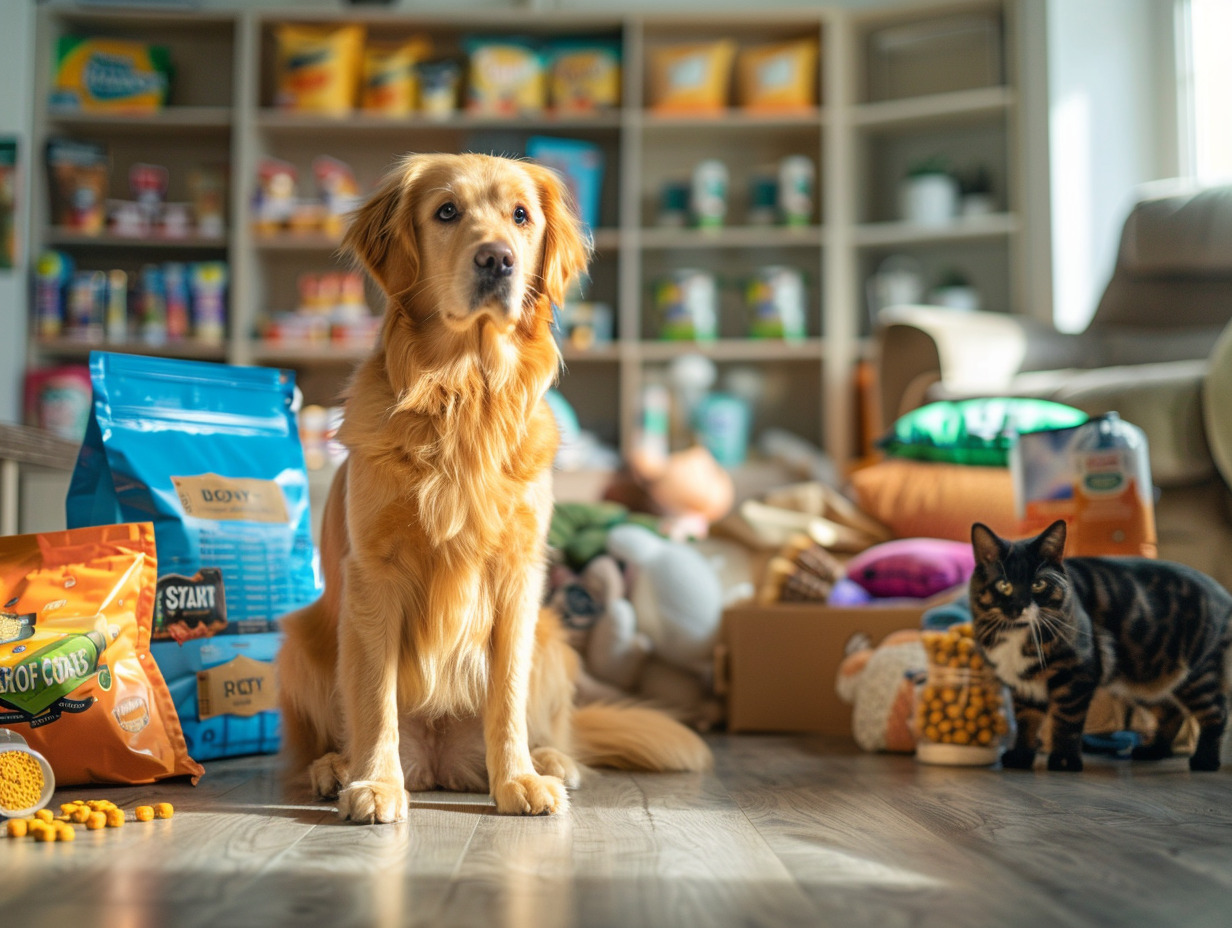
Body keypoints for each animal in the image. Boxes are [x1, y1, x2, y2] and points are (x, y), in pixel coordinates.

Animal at [274, 154, 709, 823]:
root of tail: (438, 762)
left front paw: (518, 780)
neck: (463, 391)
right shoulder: (374, 572)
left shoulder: (517, 574)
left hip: (552, 638)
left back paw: (549, 761)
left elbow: (506, 695)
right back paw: (337, 768)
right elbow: (375, 697)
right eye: (446, 211)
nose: (497, 259)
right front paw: (375, 783)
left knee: (545, 722)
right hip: (300, 642)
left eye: (521, 216)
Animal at [965, 517, 1227, 769]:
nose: (1020, 606)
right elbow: (1027, 722)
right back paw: (1153, 750)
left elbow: (1066, 721)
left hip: (1196, 672)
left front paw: (1064, 760)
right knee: (1171, 711)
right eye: (1004, 585)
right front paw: (1021, 757)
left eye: (1038, 584)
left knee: (1216, 711)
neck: (1015, 632)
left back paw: (1205, 760)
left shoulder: (1077, 674)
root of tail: (1221, 592)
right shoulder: (1023, 686)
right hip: (1147, 676)